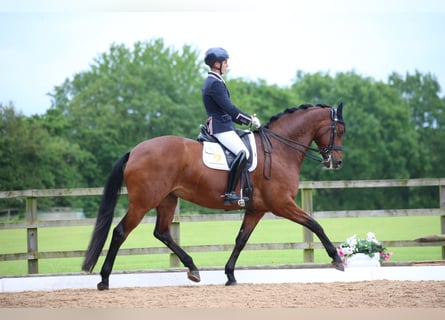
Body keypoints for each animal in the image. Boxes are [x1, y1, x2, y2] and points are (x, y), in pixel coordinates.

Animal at [81, 102, 346, 290]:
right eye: (340, 131)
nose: (336, 162)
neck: (280, 150)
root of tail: (135, 151)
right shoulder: (282, 204)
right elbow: (315, 224)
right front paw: (337, 259)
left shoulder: (256, 209)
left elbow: (241, 239)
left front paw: (230, 274)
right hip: (143, 202)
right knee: (120, 232)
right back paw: (104, 280)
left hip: (168, 199)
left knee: (162, 232)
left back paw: (193, 269)